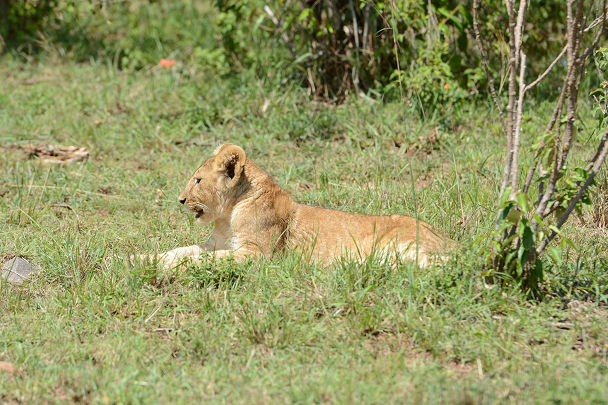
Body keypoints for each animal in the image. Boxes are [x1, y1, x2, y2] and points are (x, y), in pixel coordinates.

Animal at [140, 143, 454, 268]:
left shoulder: (258, 254)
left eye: (197, 180)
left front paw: (170, 267)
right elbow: (182, 250)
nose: (180, 200)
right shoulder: (217, 243)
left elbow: (203, 259)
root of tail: (449, 240)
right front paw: (140, 259)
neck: (228, 214)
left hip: (399, 247)